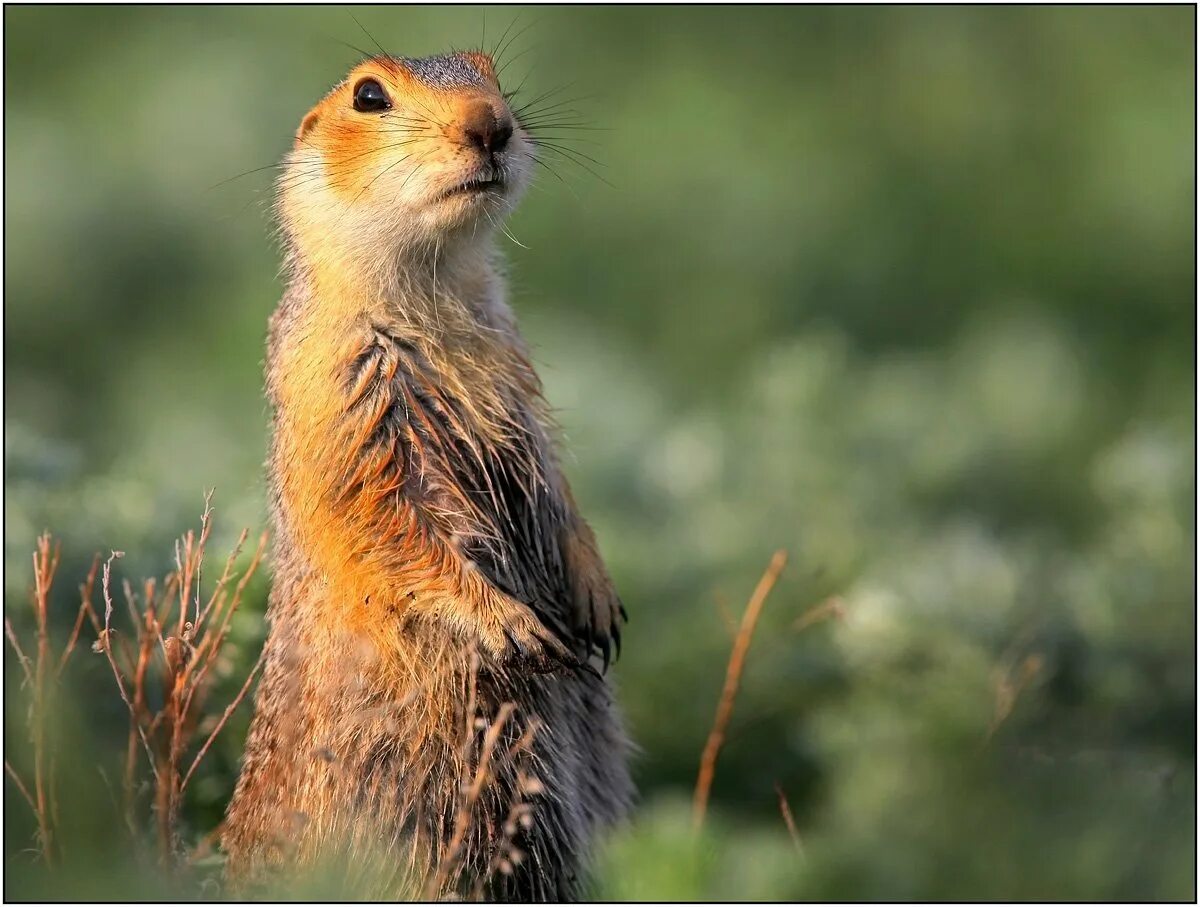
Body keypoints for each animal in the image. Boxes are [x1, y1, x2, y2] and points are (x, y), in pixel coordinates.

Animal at [224, 51, 638, 902]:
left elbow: (557, 481)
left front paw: (597, 597)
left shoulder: (517, 369)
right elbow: (385, 520)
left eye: (492, 74)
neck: (435, 289)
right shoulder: (345, 389)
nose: (491, 123)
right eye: (368, 94)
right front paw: (514, 624)